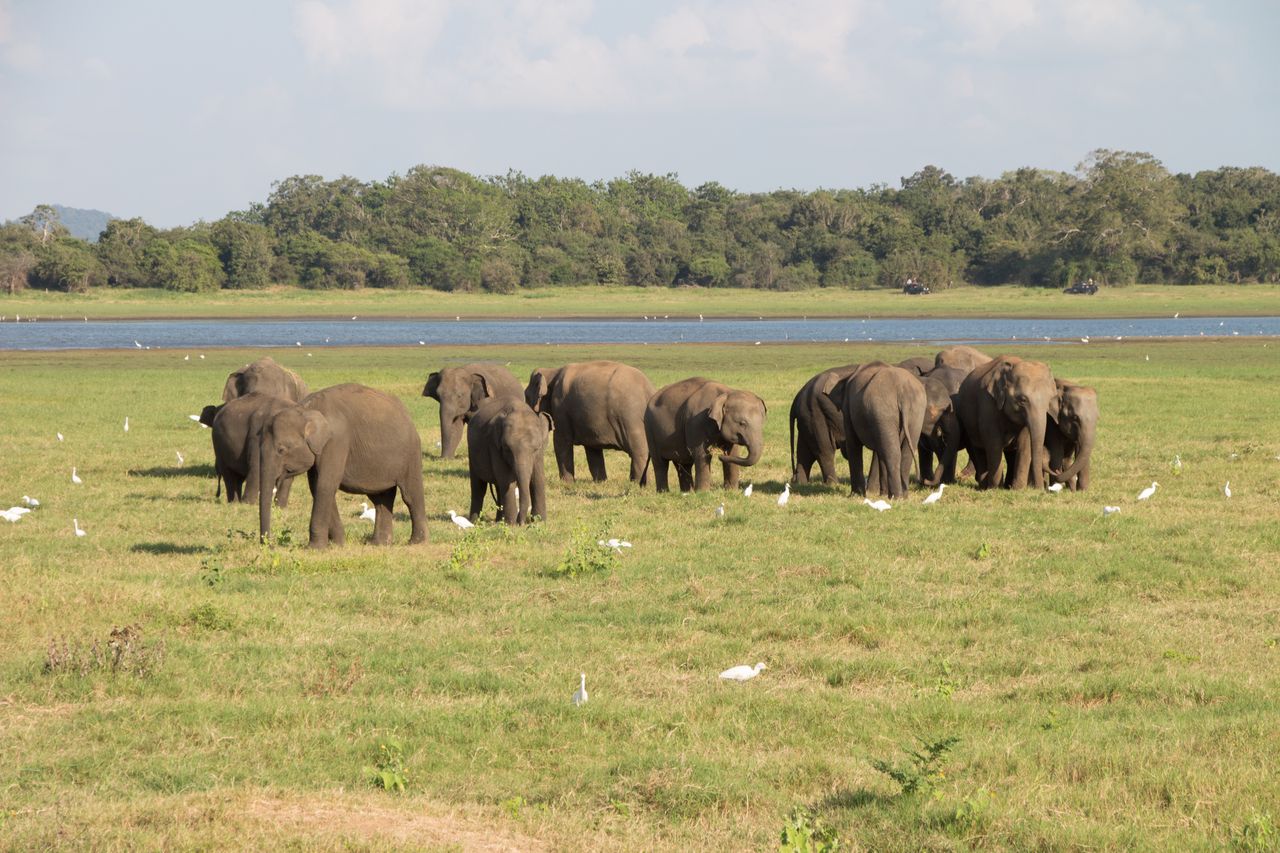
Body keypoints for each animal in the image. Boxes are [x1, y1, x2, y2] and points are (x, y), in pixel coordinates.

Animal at [259, 384, 430, 548]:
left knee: (410, 495)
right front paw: (338, 544)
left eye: (281, 450)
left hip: (411, 453)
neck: (305, 409)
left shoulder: (336, 441)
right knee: (380, 498)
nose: (269, 545)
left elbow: (326, 485)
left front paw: (314, 548)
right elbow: (317, 486)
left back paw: (416, 542)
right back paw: (379, 543)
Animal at [468, 394, 552, 525]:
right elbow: (507, 480)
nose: (521, 523)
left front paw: (540, 521)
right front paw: (511, 524)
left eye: (536, 448)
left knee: (498, 487)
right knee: (479, 487)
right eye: (507, 449)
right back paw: (474, 522)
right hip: (472, 453)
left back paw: (499, 521)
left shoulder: (539, 455)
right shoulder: (494, 446)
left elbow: (537, 479)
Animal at [524, 356, 655, 481]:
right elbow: (592, 448)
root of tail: (648, 390)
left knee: (638, 452)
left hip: (630, 418)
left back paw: (636, 483)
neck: (552, 371)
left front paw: (567, 484)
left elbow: (561, 441)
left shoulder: (560, 406)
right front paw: (600, 482)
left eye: (526, 396)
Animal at [824, 361, 926, 499]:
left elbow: (853, 444)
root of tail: (902, 392)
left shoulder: (848, 409)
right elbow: (880, 451)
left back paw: (896, 497)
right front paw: (882, 494)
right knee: (904, 453)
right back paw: (902, 496)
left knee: (892, 453)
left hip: (883, 410)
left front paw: (855, 495)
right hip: (915, 413)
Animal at [957, 350, 1054, 489]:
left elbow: (1025, 444)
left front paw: (1018, 489)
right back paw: (984, 486)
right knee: (978, 450)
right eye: (1023, 400)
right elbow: (994, 444)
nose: (1041, 489)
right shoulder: (987, 403)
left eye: (1050, 399)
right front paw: (995, 488)